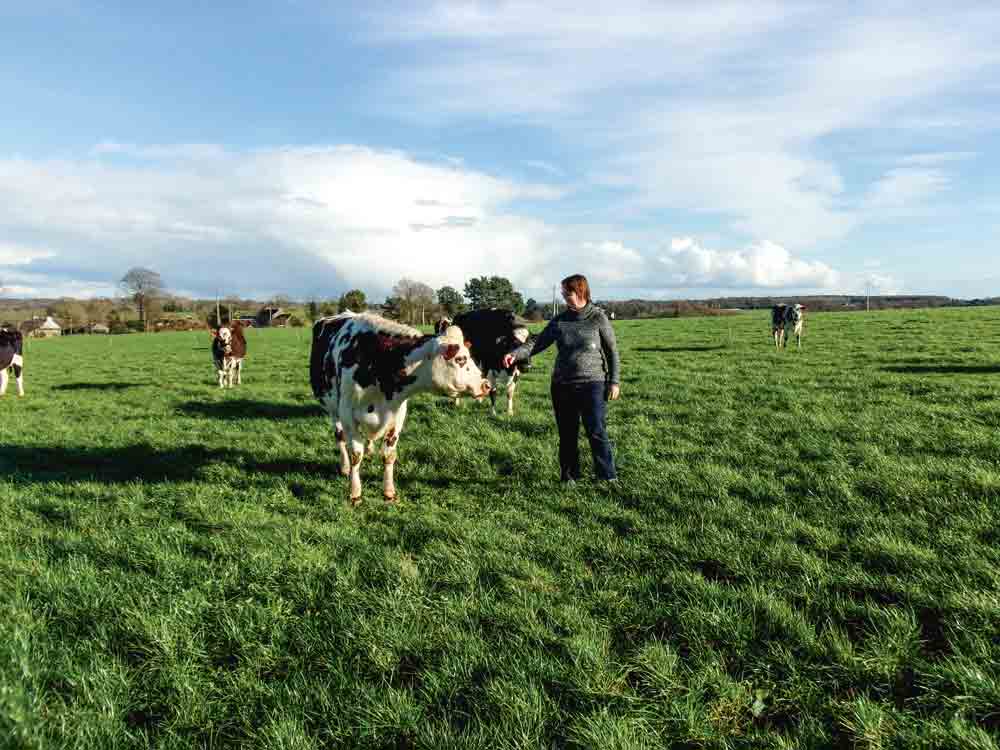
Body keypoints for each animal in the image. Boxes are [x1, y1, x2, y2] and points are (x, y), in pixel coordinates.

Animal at [308, 312, 488, 506]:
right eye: (460, 359)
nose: (486, 385)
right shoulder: (348, 415)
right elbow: (356, 454)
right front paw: (355, 494)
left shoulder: (397, 414)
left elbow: (388, 455)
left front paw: (389, 493)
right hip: (334, 410)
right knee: (340, 437)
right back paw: (345, 467)